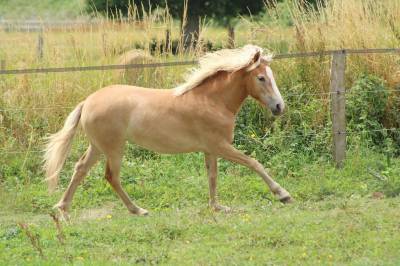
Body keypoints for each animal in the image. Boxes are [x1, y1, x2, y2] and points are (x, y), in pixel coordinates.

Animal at [43, 44, 292, 218]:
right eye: (261, 78)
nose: (280, 107)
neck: (212, 101)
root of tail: (88, 101)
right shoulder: (221, 146)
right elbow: (254, 163)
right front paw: (283, 195)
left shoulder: (210, 149)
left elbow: (212, 176)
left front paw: (216, 206)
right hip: (114, 148)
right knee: (111, 176)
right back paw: (138, 210)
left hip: (97, 146)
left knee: (80, 169)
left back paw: (63, 208)